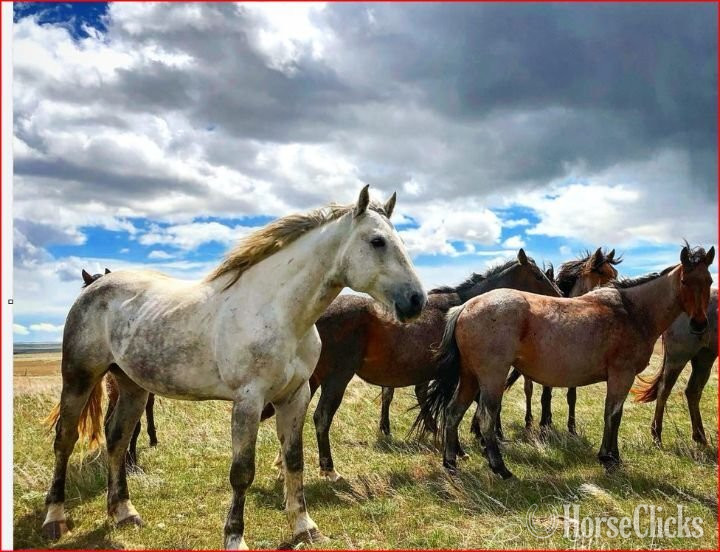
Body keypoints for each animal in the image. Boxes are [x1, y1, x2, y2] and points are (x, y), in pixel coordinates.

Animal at [261, 249, 562, 482]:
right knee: (321, 417)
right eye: (539, 276)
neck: (466, 309)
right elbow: (454, 409)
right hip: (337, 378)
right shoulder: (454, 376)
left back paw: (283, 466)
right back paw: (329, 470)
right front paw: (463, 448)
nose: (559, 296)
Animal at [500, 248, 622, 436]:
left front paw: (571, 428)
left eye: (615, 273)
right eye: (601, 272)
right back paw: (530, 423)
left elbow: (571, 397)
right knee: (529, 390)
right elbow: (545, 396)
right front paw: (543, 425)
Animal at [632, 288, 718, 446]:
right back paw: (657, 435)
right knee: (664, 389)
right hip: (679, 357)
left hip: (704, 356)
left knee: (693, 391)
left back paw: (700, 437)